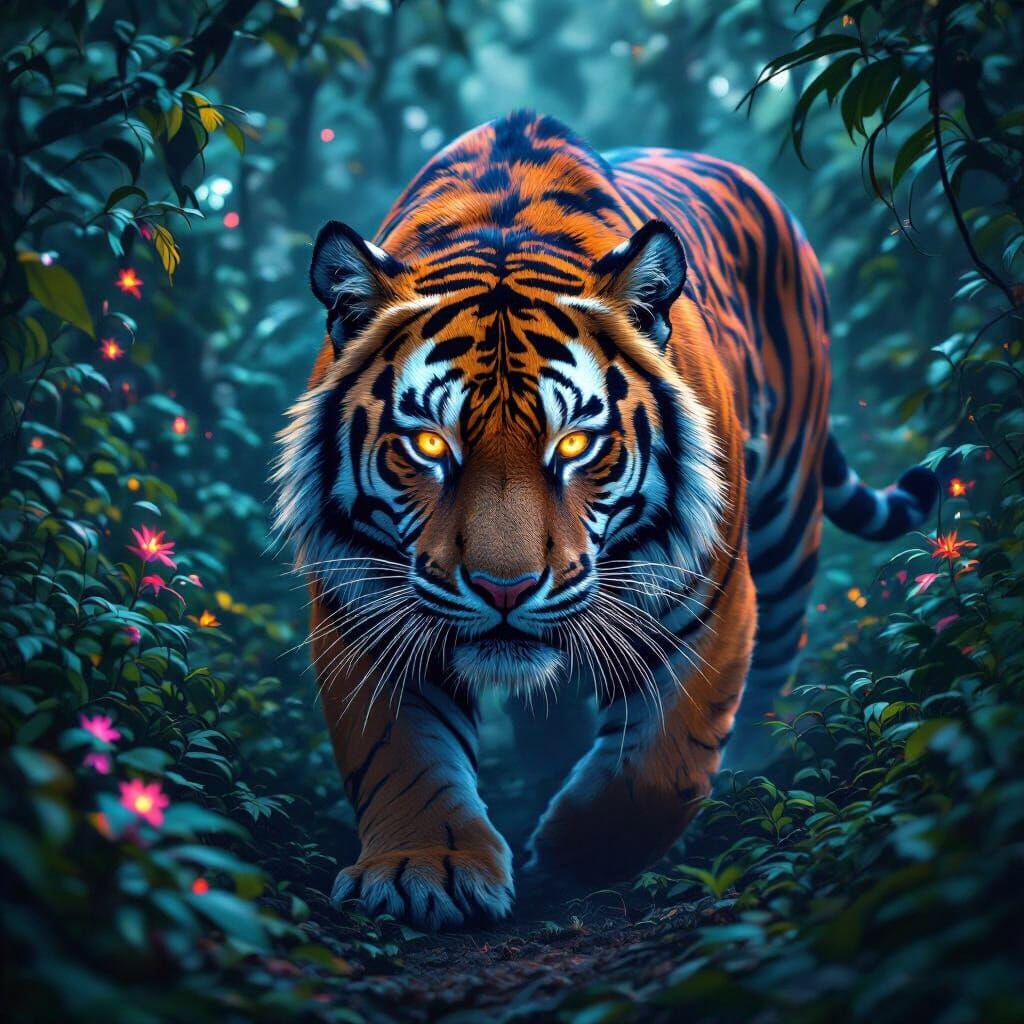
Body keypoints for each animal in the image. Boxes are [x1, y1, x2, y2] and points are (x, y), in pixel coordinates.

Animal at [274, 111, 937, 930]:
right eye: (430, 444)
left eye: (574, 445)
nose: (504, 590)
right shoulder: (363, 602)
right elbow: (402, 752)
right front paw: (425, 869)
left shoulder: (710, 597)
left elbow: (659, 765)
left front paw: (576, 855)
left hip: (788, 517)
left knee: (777, 659)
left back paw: (749, 775)